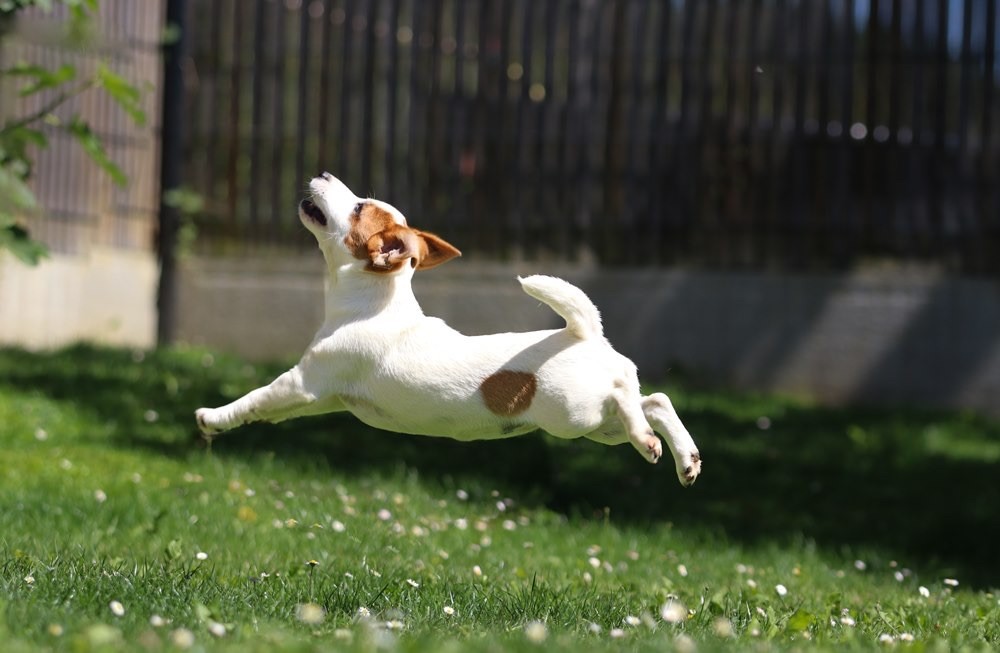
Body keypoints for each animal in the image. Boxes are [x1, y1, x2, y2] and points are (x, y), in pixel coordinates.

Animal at [195, 171, 704, 486]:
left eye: (358, 207)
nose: (322, 173)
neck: (375, 302)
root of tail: (585, 334)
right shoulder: (319, 399)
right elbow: (268, 411)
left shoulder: (303, 382)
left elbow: (255, 398)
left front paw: (212, 417)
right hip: (596, 425)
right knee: (654, 401)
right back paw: (683, 457)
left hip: (573, 412)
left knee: (630, 401)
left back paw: (650, 442)